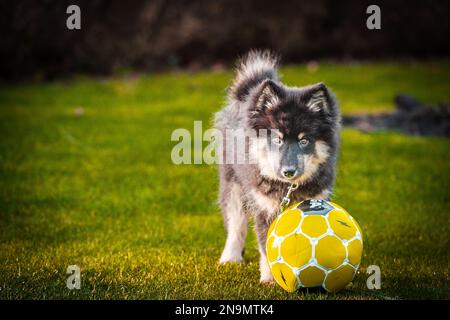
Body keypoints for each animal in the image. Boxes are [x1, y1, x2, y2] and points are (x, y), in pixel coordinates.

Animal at [213, 50, 340, 282]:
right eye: (278, 139)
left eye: (304, 140)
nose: (288, 171)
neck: (288, 188)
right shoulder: (265, 208)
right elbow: (267, 247)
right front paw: (272, 279)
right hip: (233, 185)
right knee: (236, 225)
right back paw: (230, 257)